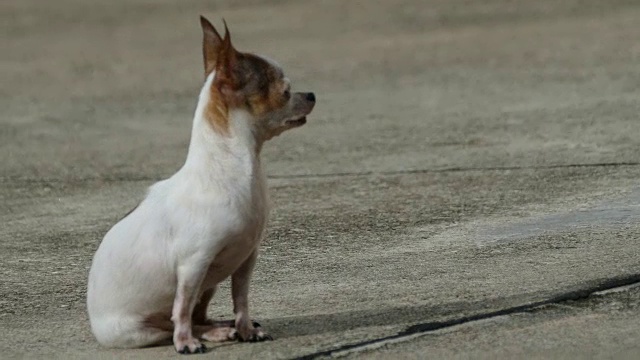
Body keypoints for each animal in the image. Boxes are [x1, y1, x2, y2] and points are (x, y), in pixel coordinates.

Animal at [86, 16, 316, 354]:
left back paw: (222, 327)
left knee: (200, 315)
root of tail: (95, 326)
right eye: (285, 91)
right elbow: (181, 309)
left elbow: (241, 300)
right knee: (173, 323)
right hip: (143, 329)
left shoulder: (245, 260)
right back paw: (202, 335)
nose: (311, 94)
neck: (234, 168)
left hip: (211, 283)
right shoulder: (193, 266)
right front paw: (186, 343)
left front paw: (246, 330)